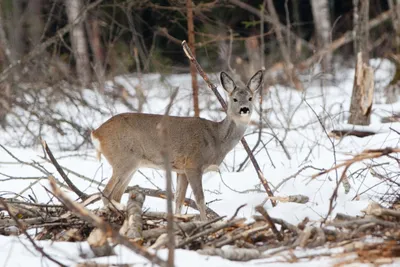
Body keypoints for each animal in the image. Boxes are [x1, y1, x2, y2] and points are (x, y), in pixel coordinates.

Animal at [92, 70, 264, 221]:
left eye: (250, 98)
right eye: (234, 99)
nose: (244, 109)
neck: (217, 139)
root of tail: (97, 133)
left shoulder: (181, 170)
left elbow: (179, 200)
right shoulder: (193, 164)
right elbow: (200, 199)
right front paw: (204, 222)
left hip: (132, 164)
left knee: (116, 194)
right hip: (123, 159)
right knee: (106, 192)